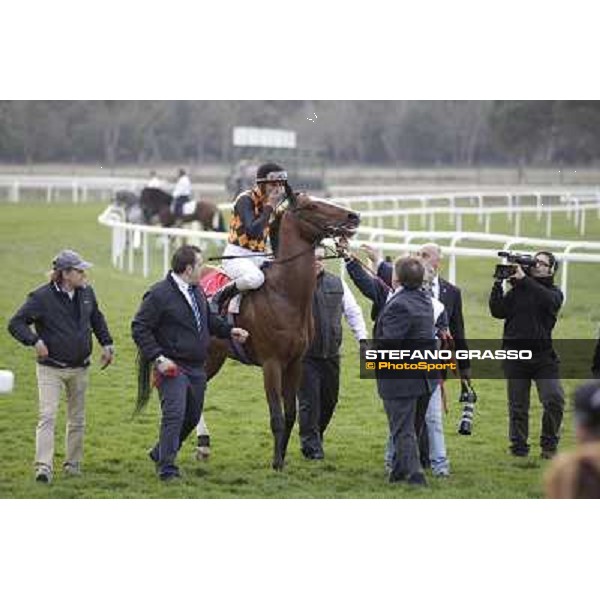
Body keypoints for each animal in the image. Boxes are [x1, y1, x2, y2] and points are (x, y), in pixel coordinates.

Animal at [202, 192, 360, 468]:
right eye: (312, 206)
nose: (353, 216)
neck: (285, 294)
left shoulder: (295, 362)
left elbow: (290, 414)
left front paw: (283, 458)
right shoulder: (271, 363)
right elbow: (276, 415)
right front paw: (276, 462)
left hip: (215, 356)